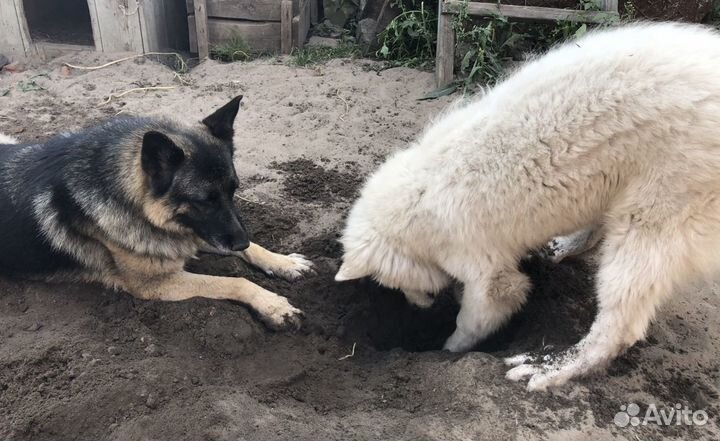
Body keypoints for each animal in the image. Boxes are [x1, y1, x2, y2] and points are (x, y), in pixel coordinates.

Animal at [0, 97, 312, 330]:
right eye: (204, 200)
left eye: (233, 190)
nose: (240, 242)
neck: (131, 201)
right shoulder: (156, 283)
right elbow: (234, 281)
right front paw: (274, 306)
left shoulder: (190, 234)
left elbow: (251, 251)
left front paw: (282, 262)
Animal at [334, 22, 720, 390]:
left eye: (393, 282)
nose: (419, 307)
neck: (419, 197)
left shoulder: (485, 268)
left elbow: (478, 315)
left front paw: (450, 348)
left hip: (658, 211)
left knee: (619, 324)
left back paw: (552, 366)